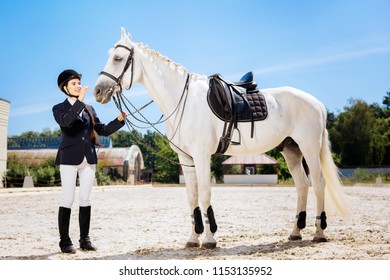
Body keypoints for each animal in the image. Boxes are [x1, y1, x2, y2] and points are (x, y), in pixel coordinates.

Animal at [93, 27, 348, 248]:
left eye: (118, 58)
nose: (97, 91)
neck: (183, 101)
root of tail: (317, 103)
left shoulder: (202, 155)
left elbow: (205, 194)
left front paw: (209, 239)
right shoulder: (186, 159)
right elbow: (192, 197)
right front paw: (193, 239)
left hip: (309, 148)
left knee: (318, 184)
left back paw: (319, 233)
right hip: (291, 150)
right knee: (302, 186)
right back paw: (295, 232)